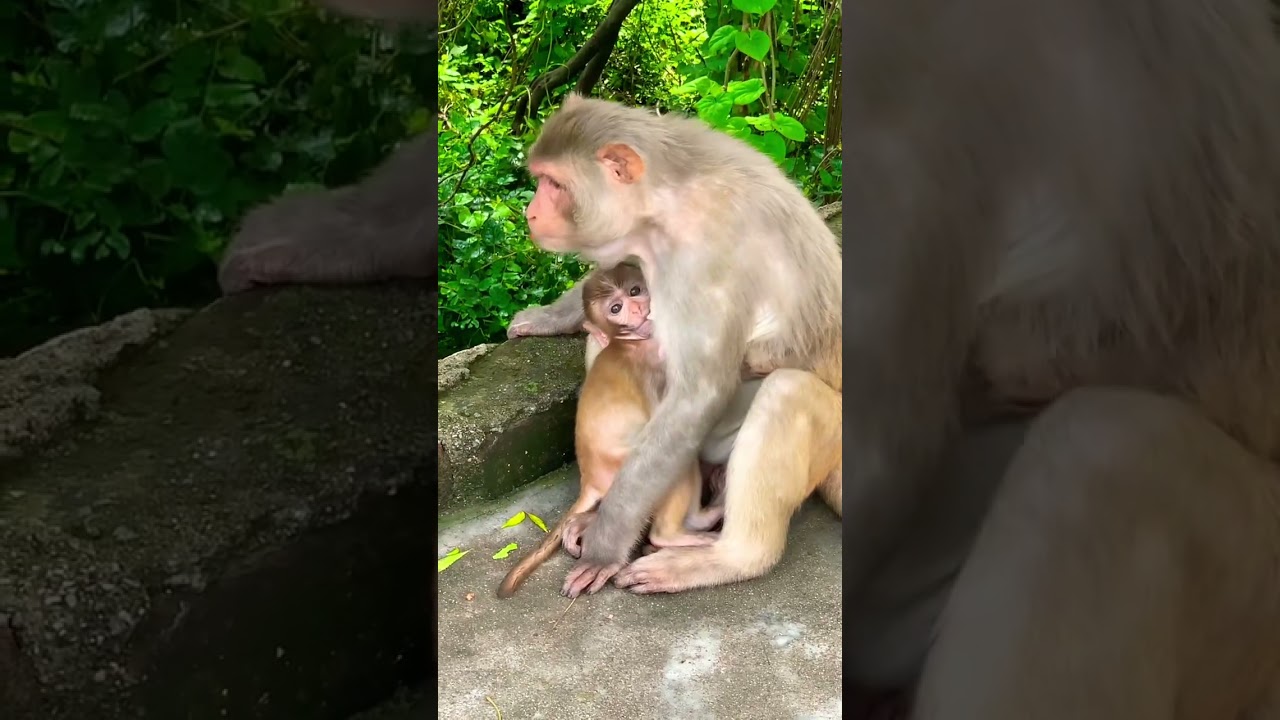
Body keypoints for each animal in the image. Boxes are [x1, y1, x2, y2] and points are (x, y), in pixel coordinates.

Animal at [496, 264, 720, 598]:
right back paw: (675, 532)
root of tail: (590, 479)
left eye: (634, 291)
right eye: (616, 308)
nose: (638, 308)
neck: (629, 342)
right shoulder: (655, 370)